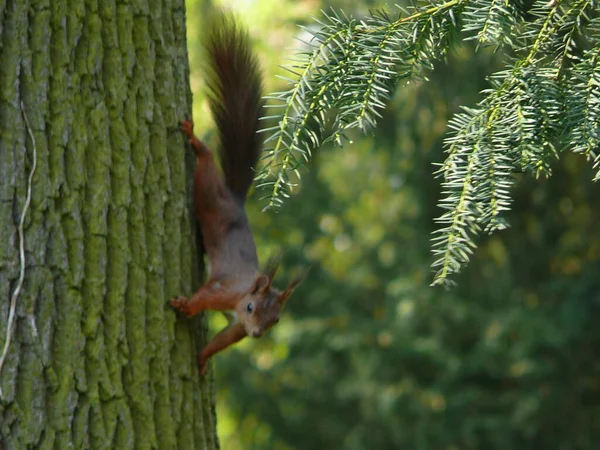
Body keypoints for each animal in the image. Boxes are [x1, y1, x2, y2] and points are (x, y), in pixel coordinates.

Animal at [172, 12, 304, 374]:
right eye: (250, 308)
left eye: (276, 320)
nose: (257, 335)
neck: (243, 294)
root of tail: (235, 197)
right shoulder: (225, 291)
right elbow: (203, 296)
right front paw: (186, 306)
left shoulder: (236, 329)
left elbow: (223, 340)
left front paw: (203, 358)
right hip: (208, 192)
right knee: (205, 163)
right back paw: (195, 141)